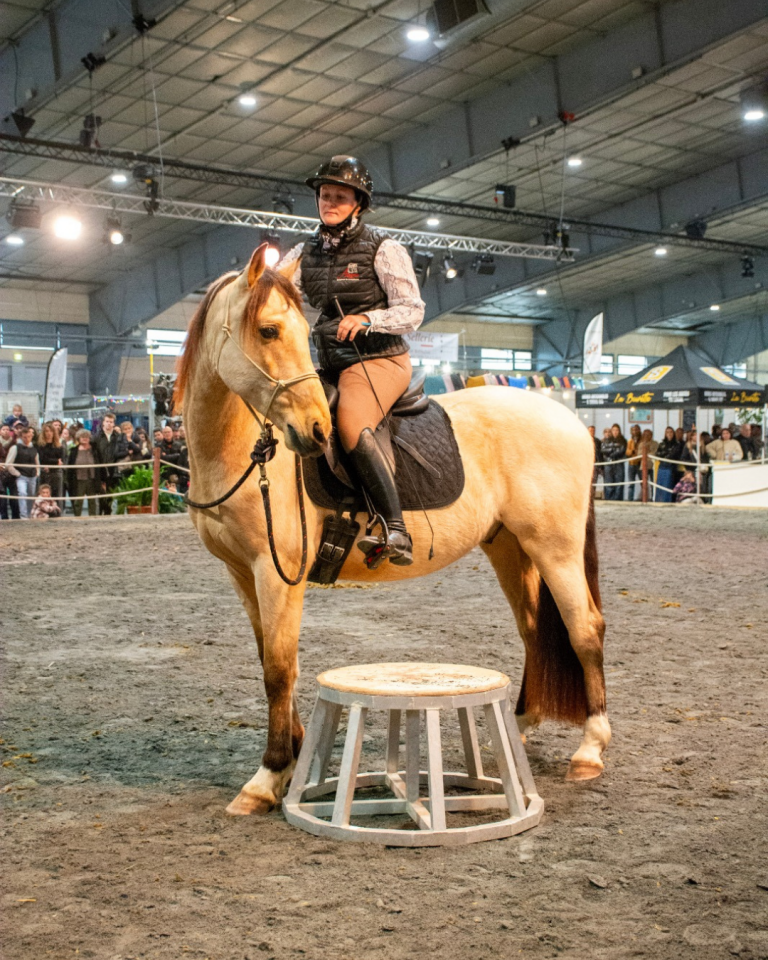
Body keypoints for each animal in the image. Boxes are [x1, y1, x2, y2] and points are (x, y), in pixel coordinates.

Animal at [175, 244, 610, 816]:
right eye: (269, 331)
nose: (317, 430)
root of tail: (575, 424)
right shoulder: (242, 574)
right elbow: (272, 658)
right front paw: (291, 756)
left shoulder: (277, 573)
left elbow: (279, 669)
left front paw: (267, 778)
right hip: (511, 548)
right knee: (536, 630)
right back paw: (516, 729)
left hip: (554, 548)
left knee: (585, 630)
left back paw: (591, 749)